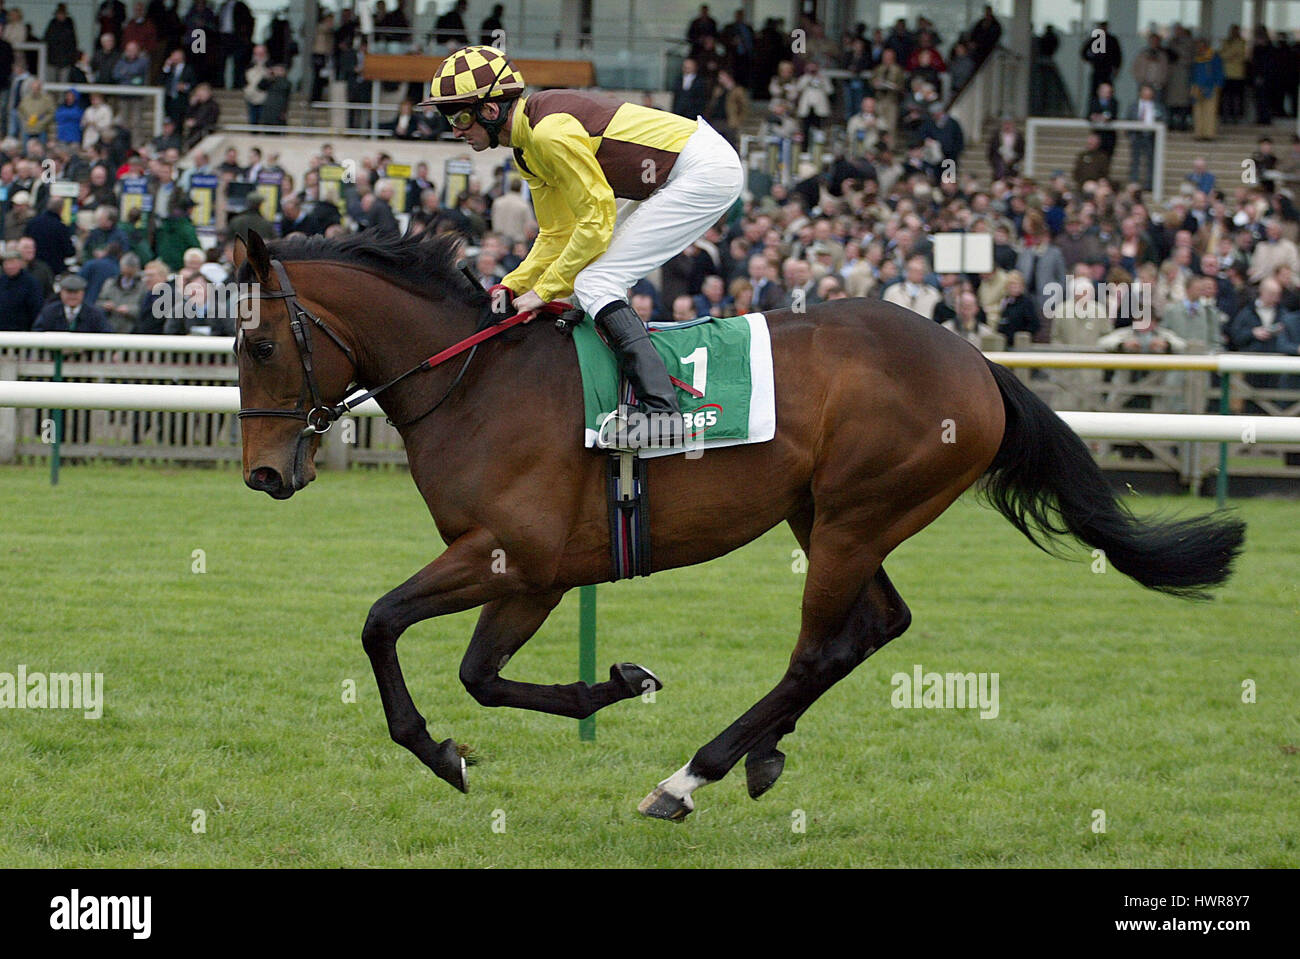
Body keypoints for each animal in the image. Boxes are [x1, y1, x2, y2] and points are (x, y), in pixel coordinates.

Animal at [233, 227, 1248, 816]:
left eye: (258, 342)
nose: (264, 473)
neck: (476, 383)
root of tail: (978, 361)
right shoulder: (535, 573)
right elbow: (480, 675)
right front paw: (612, 684)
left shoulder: (511, 554)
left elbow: (382, 623)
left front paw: (440, 751)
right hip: (828, 513)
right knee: (877, 626)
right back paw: (760, 752)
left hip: (855, 513)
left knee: (818, 649)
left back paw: (692, 776)